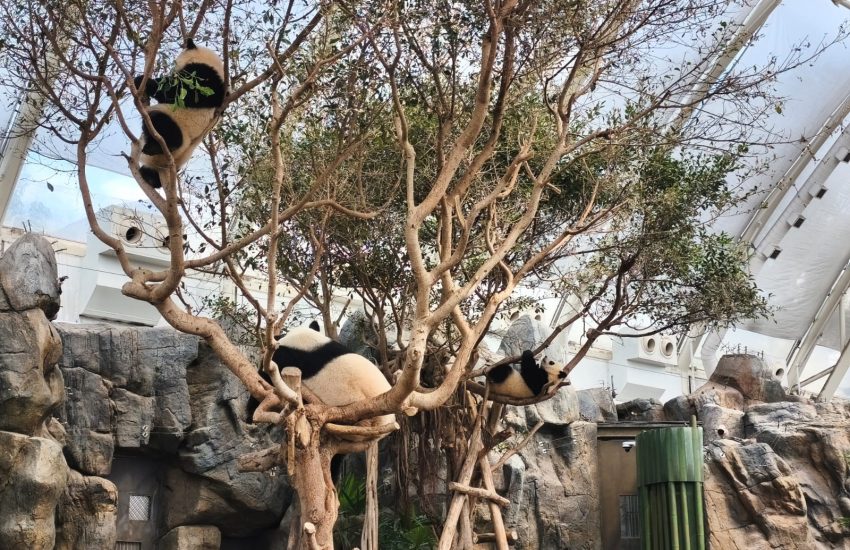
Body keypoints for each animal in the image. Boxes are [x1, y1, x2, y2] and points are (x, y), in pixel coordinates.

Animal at [134, 38, 227, 188]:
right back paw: (150, 177)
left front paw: (145, 82)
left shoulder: (205, 77)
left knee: (163, 124)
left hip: (178, 126)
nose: (173, 70)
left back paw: (156, 146)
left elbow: (179, 92)